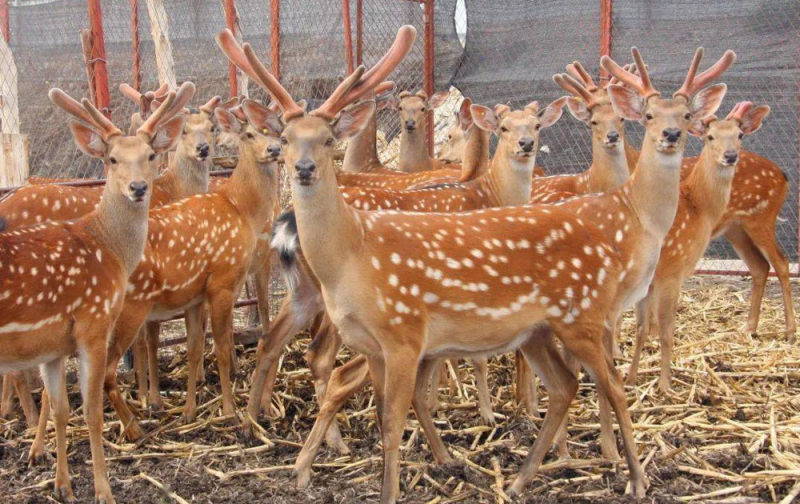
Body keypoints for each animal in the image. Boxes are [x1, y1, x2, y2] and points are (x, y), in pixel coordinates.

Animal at [1, 87, 188, 504]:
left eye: (150, 155)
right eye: (112, 158)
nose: (138, 188)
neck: (108, 248)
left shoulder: (53, 346)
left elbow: (61, 409)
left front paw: (62, 486)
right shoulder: (93, 321)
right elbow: (92, 411)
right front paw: (104, 490)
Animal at [218, 25, 657, 502]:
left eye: (329, 138)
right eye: (285, 137)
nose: (301, 167)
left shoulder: (403, 337)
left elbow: (393, 420)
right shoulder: (386, 343)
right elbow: (390, 412)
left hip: (575, 317)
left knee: (608, 383)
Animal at [627, 102, 771, 391]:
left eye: (740, 135)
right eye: (710, 136)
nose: (730, 156)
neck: (700, 210)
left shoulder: (651, 281)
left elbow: (641, 329)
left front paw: (632, 378)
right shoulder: (672, 271)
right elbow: (666, 331)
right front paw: (665, 385)